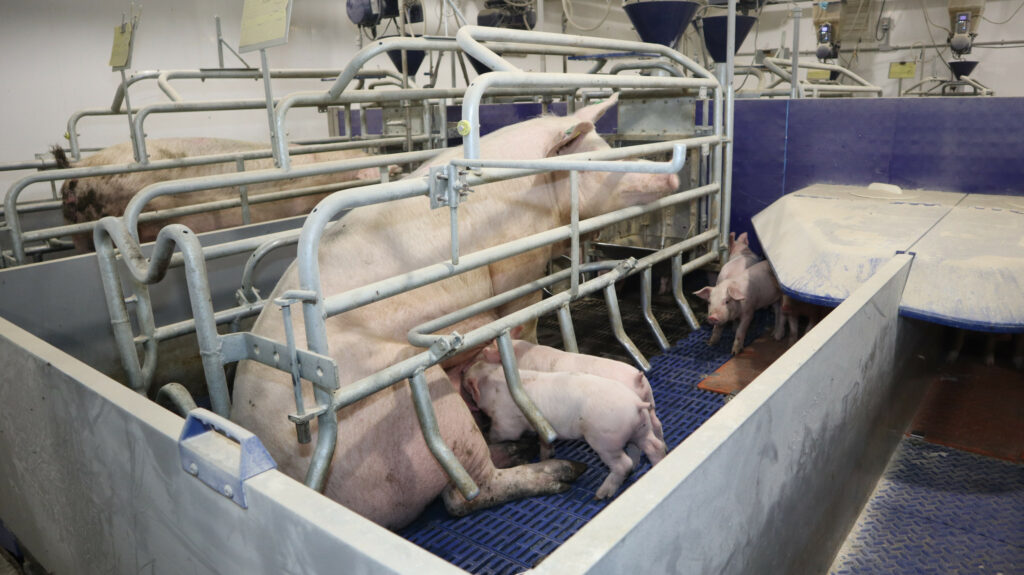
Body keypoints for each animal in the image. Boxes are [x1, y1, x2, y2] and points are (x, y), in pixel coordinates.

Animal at [462, 362, 667, 497]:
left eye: (467, 378)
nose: (462, 369)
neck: (493, 381)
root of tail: (636, 404)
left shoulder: (506, 421)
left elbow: (501, 434)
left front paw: (487, 437)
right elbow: (543, 442)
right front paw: (545, 455)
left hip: (605, 440)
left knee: (624, 464)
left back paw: (601, 494)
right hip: (641, 429)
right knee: (652, 446)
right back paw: (658, 462)